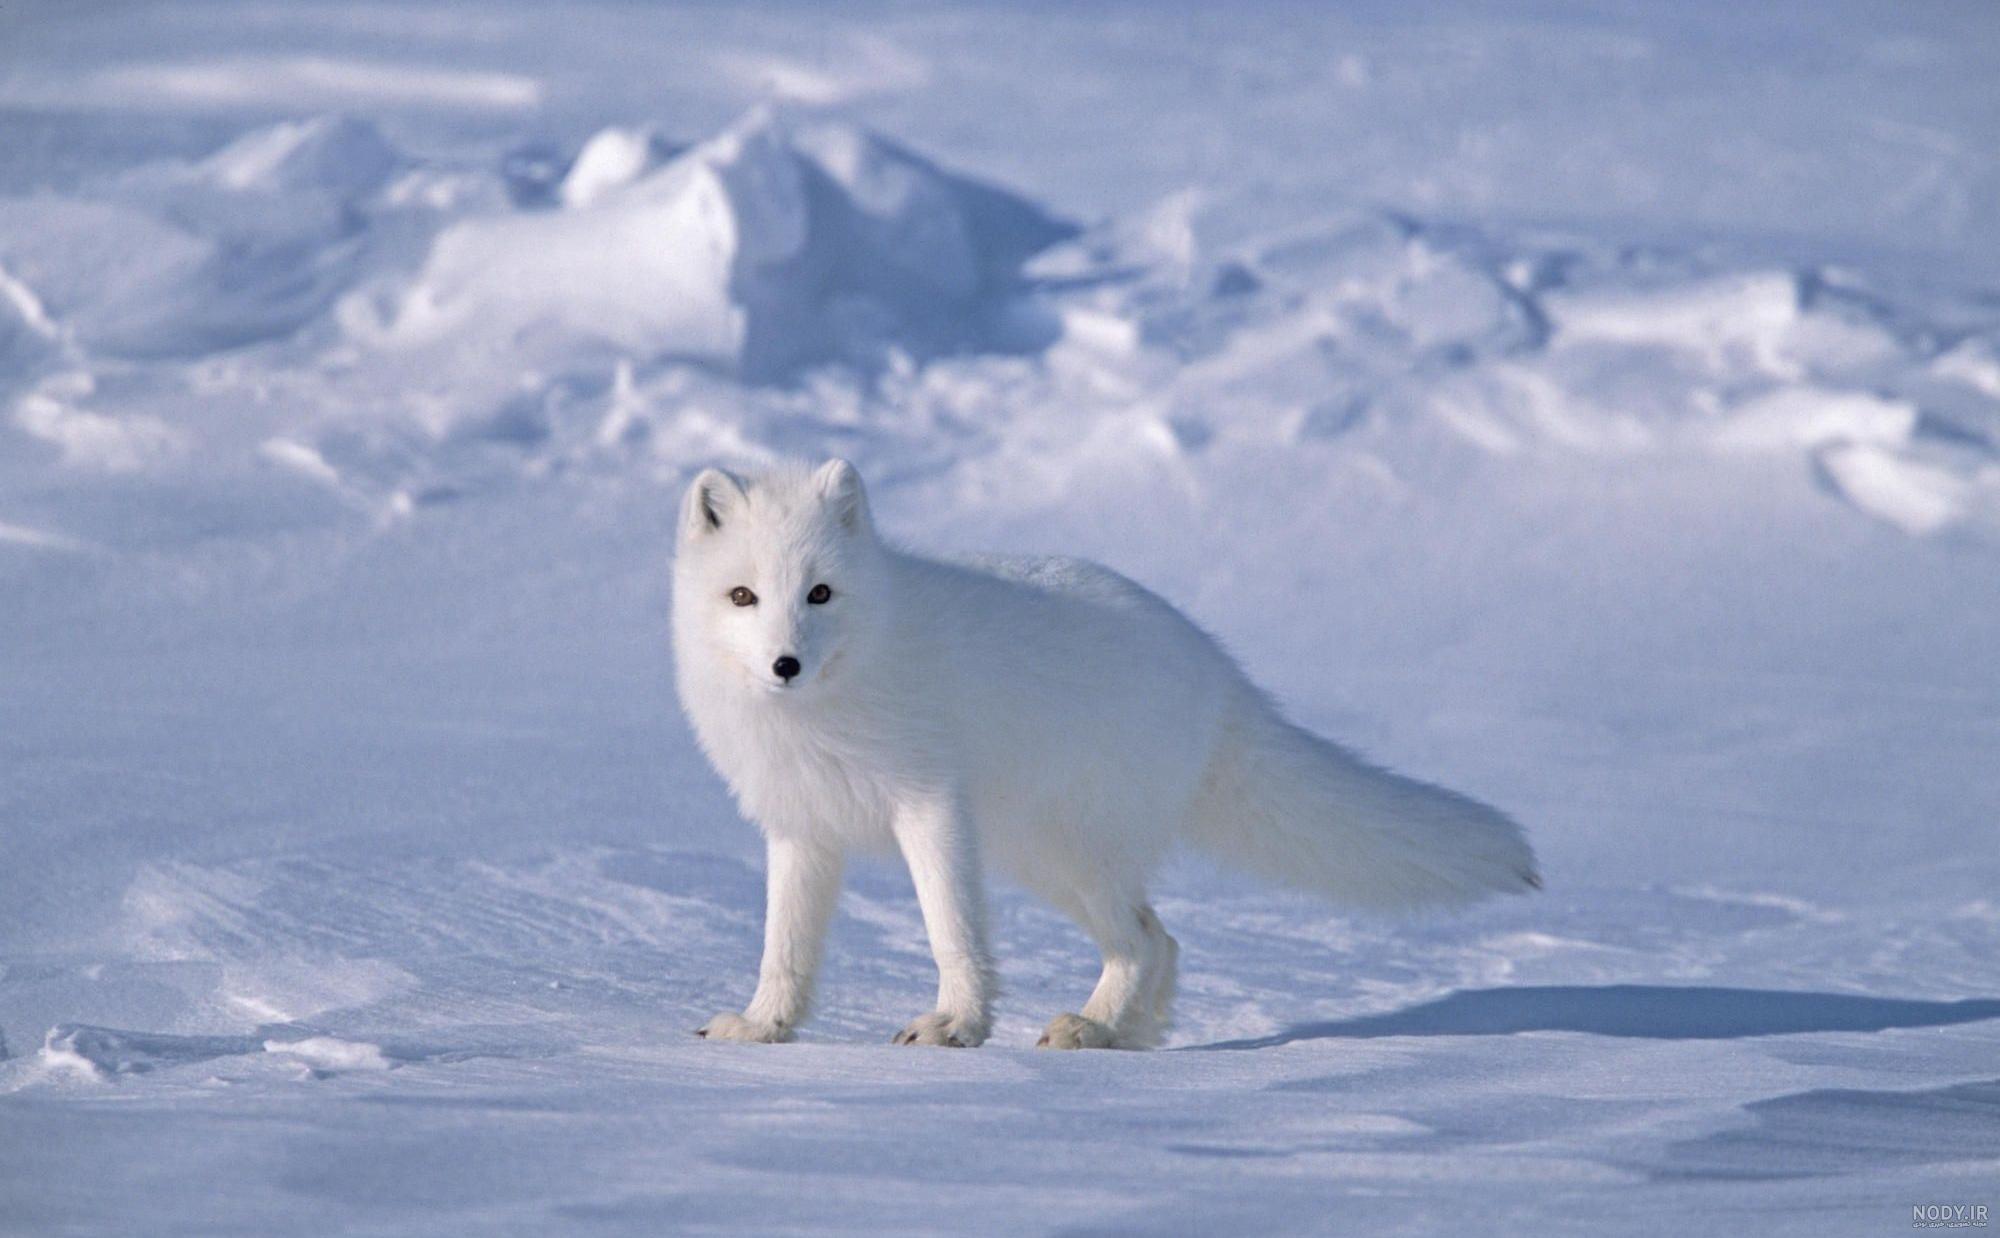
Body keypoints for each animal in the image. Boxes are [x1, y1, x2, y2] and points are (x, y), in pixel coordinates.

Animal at [673, 459, 1539, 1050]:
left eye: (820, 593)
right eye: (744, 596)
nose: (785, 664)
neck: (829, 703)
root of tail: (1219, 671)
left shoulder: (930, 806)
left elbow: (952, 929)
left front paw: (955, 1026)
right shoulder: (801, 828)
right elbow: (784, 947)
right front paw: (763, 1027)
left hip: (1068, 852)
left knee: (1146, 938)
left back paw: (1092, 1029)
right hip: (1044, 858)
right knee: (1162, 938)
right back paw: (1123, 1034)